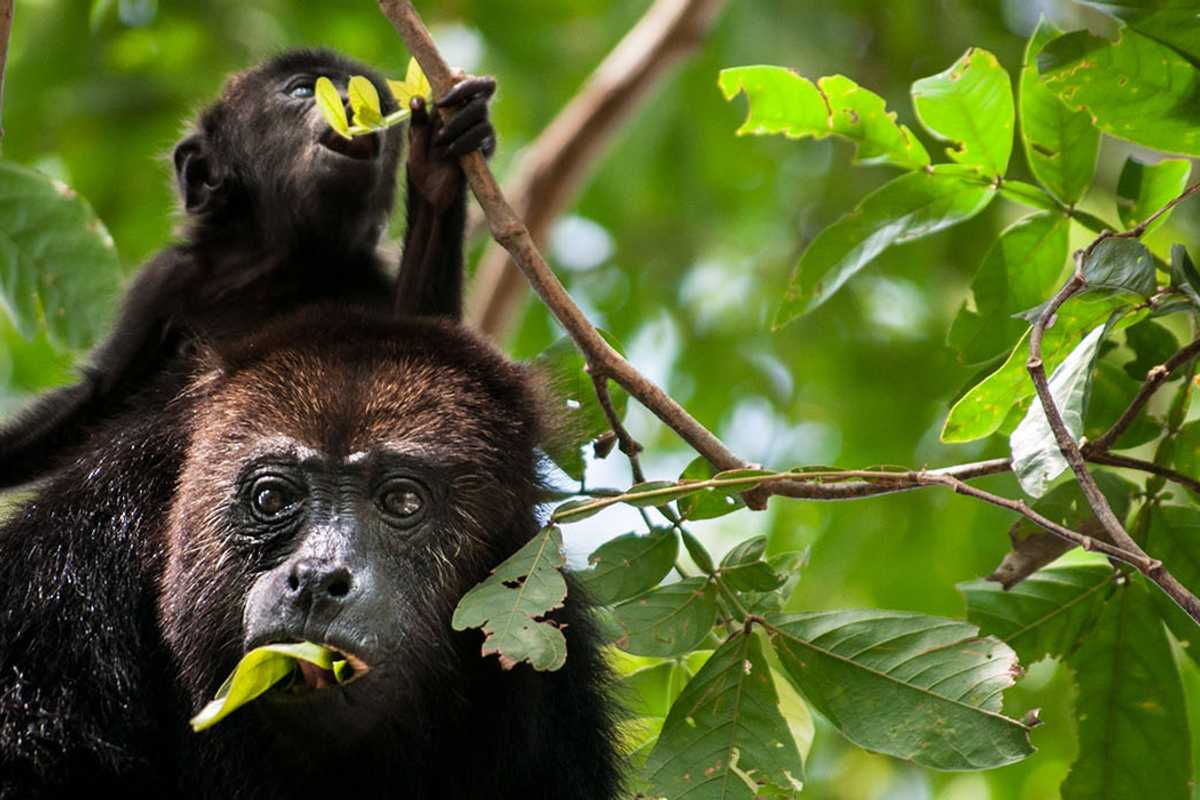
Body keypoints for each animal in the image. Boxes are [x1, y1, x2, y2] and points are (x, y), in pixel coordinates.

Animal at [0, 48, 496, 488]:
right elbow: (100, 396)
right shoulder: (163, 280)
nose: (350, 101)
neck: (279, 264)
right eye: (302, 89)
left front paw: (437, 169)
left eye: (374, 97)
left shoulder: (368, 283)